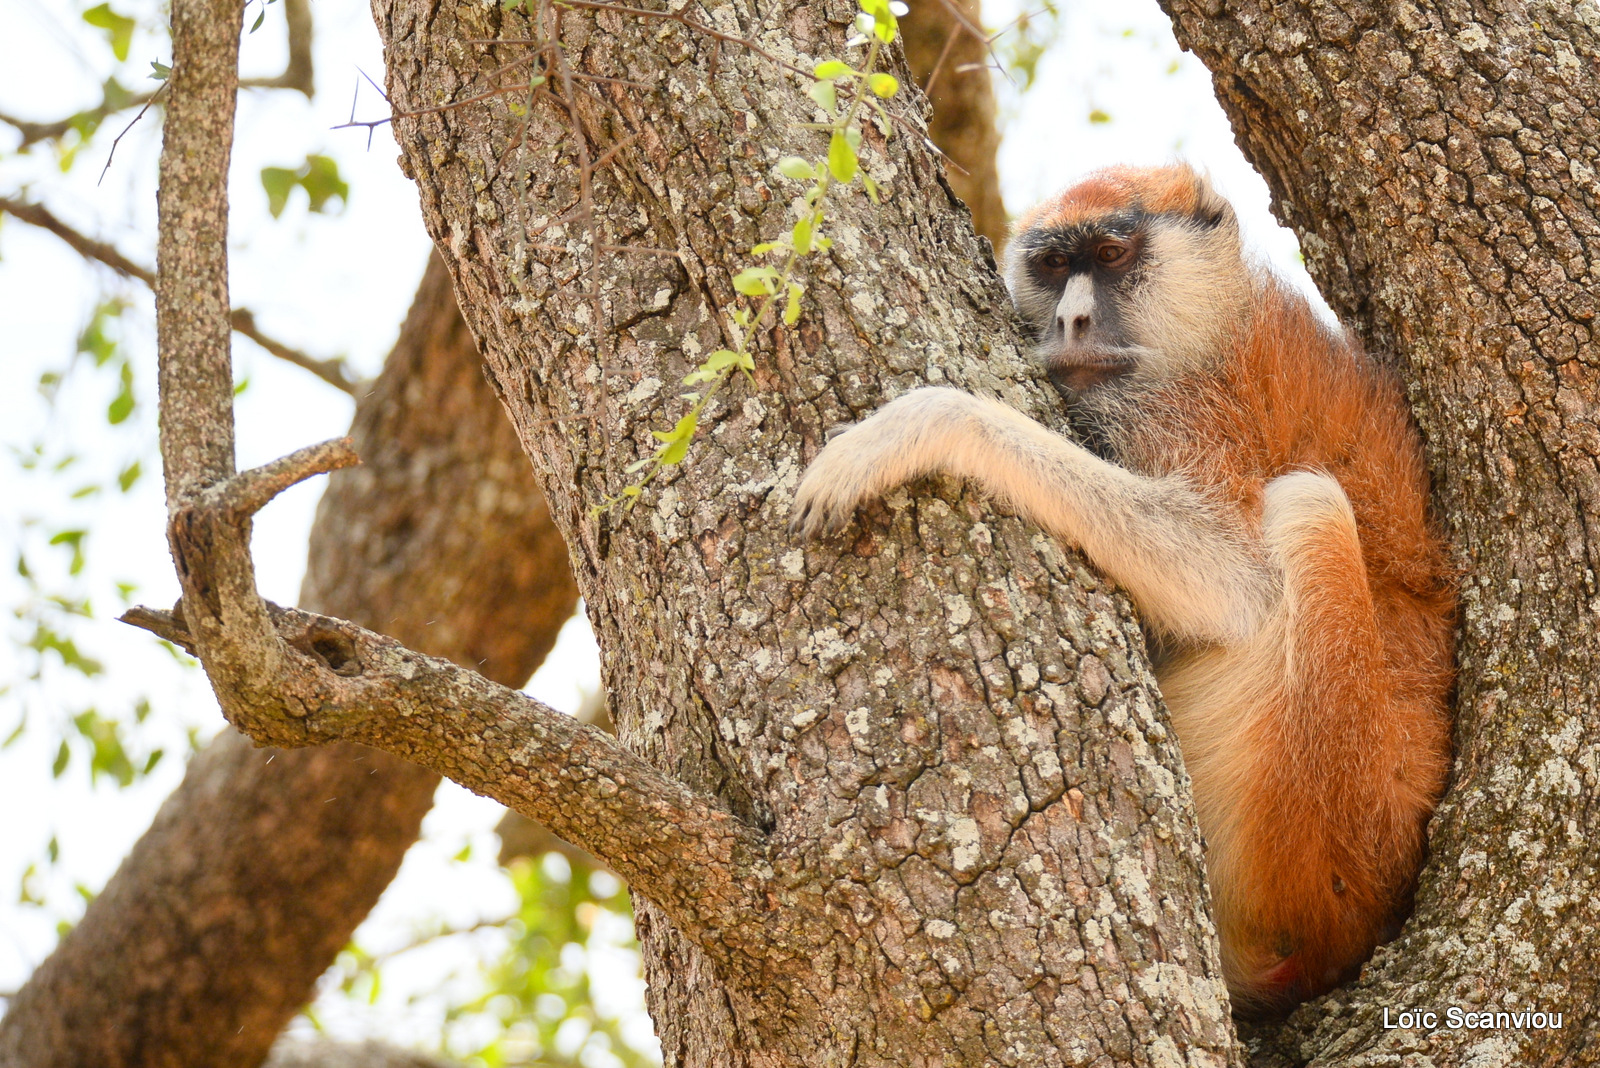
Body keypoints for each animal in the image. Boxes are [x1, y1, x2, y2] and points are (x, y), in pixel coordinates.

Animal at [793, 164, 1459, 1010]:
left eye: (1112, 254)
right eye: (1053, 266)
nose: (1073, 319)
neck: (1211, 318)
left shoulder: (1188, 413)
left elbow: (1236, 585)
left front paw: (921, 425)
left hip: (1324, 839)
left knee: (1311, 508)